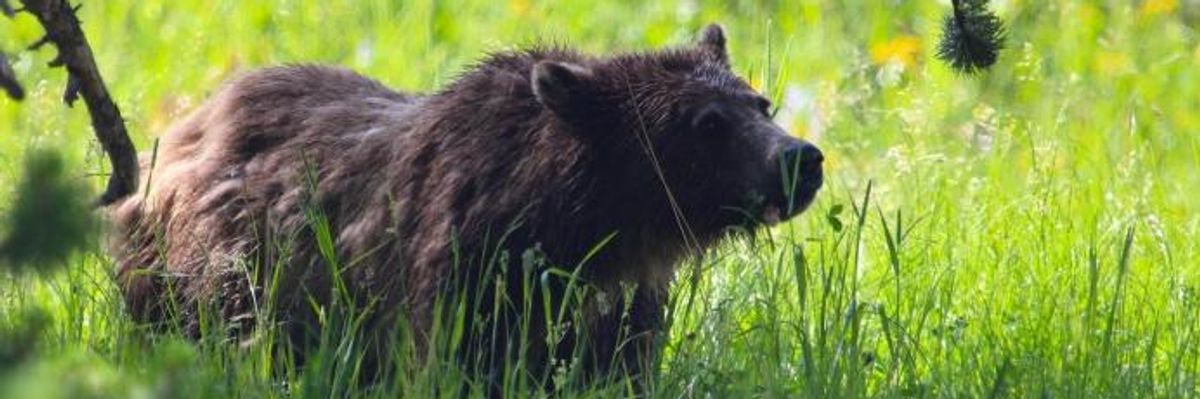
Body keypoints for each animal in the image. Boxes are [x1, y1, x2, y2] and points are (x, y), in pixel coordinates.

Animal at [110, 24, 825, 386]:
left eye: (760, 103)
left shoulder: (614, 306)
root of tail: (180, 129)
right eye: (707, 123)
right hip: (205, 284)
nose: (801, 158)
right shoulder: (464, 279)